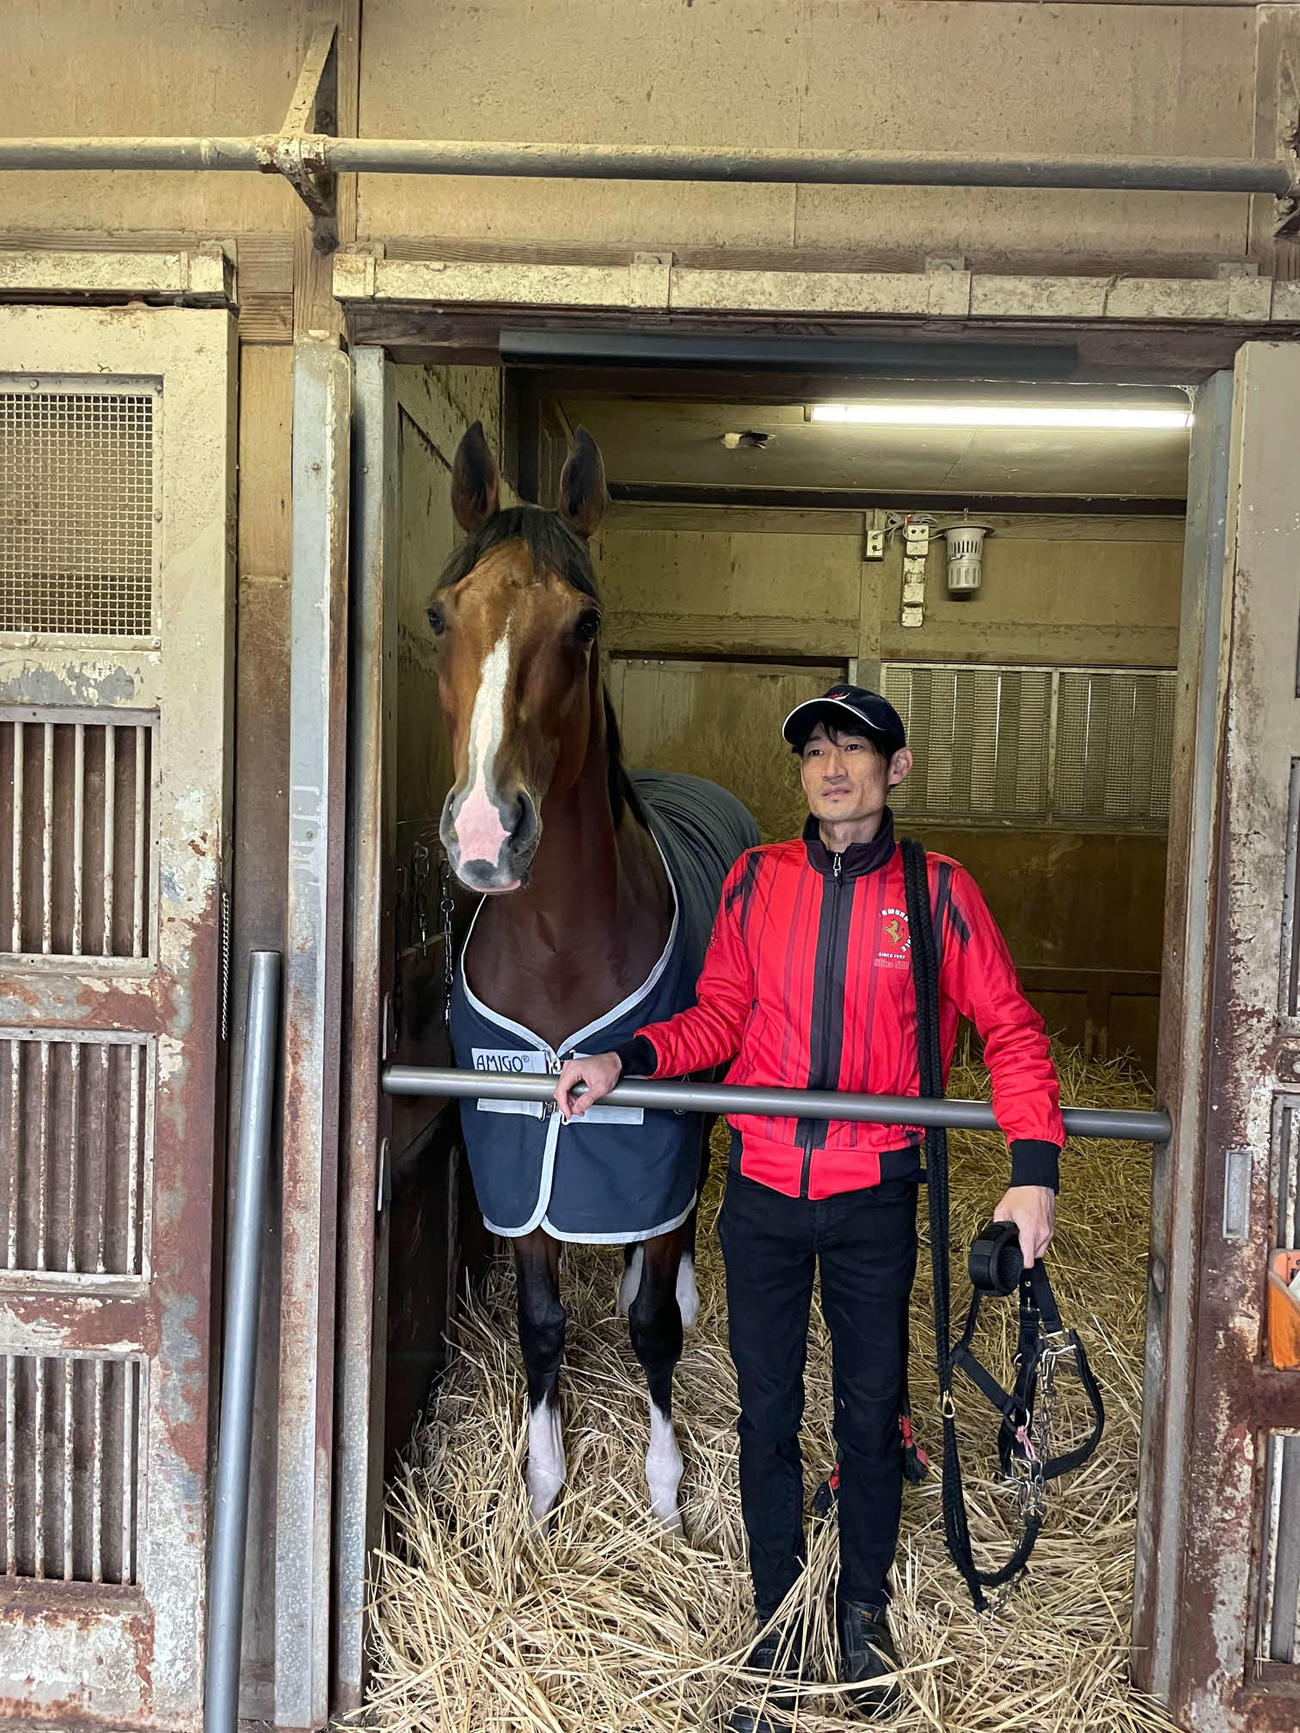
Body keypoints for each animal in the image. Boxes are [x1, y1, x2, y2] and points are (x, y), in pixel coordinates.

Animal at [432, 421, 758, 1532]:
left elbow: (655, 1323)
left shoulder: (647, 1132)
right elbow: (539, 1322)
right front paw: (541, 1484)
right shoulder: (514, 1144)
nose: (484, 832)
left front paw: (665, 1487)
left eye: (585, 622)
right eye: (440, 612)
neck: (561, 942)